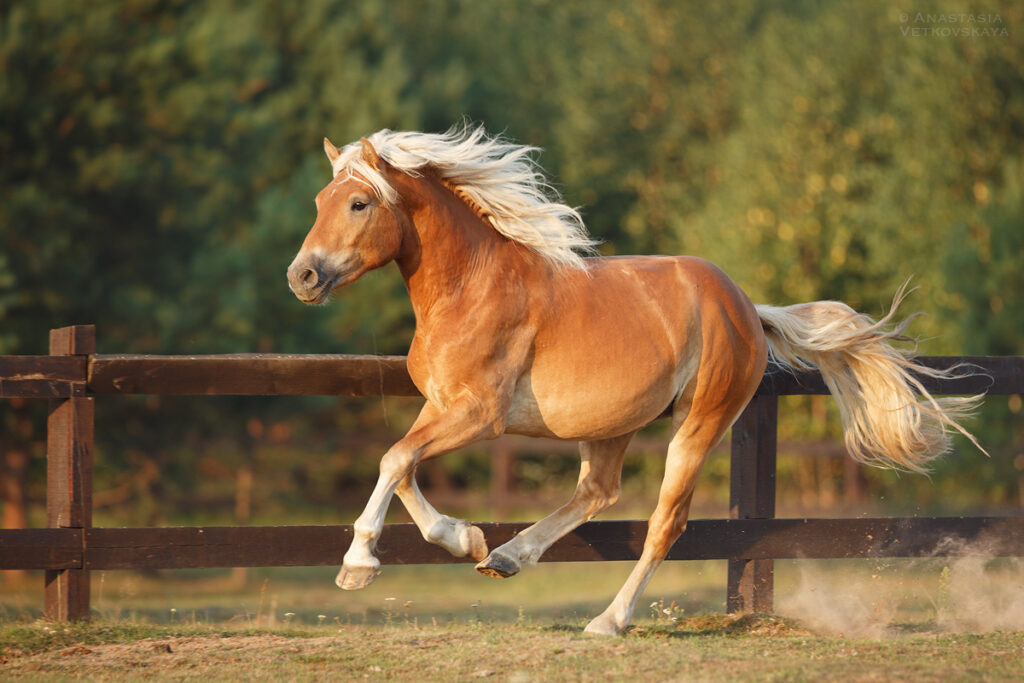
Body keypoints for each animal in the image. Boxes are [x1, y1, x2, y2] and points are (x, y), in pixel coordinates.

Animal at [284, 125, 978, 638]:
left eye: (358, 203)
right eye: (318, 203)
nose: (302, 277)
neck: (470, 287)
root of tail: (747, 308)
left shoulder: (478, 413)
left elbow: (393, 459)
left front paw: (357, 566)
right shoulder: (441, 408)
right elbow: (402, 466)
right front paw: (465, 536)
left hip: (698, 425)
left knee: (663, 523)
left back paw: (607, 621)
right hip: (610, 423)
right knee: (598, 492)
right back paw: (506, 557)